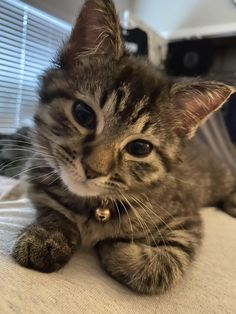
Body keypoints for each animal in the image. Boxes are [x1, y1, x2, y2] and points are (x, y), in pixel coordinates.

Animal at [12, 0, 236, 294]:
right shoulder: (37, 177)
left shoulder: (187, 219)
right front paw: (47, 235)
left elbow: (160, 266)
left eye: (139, 148)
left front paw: (113, 246)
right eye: (83, 114)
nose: (92, 170)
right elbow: (53, 207)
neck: (95, 207)